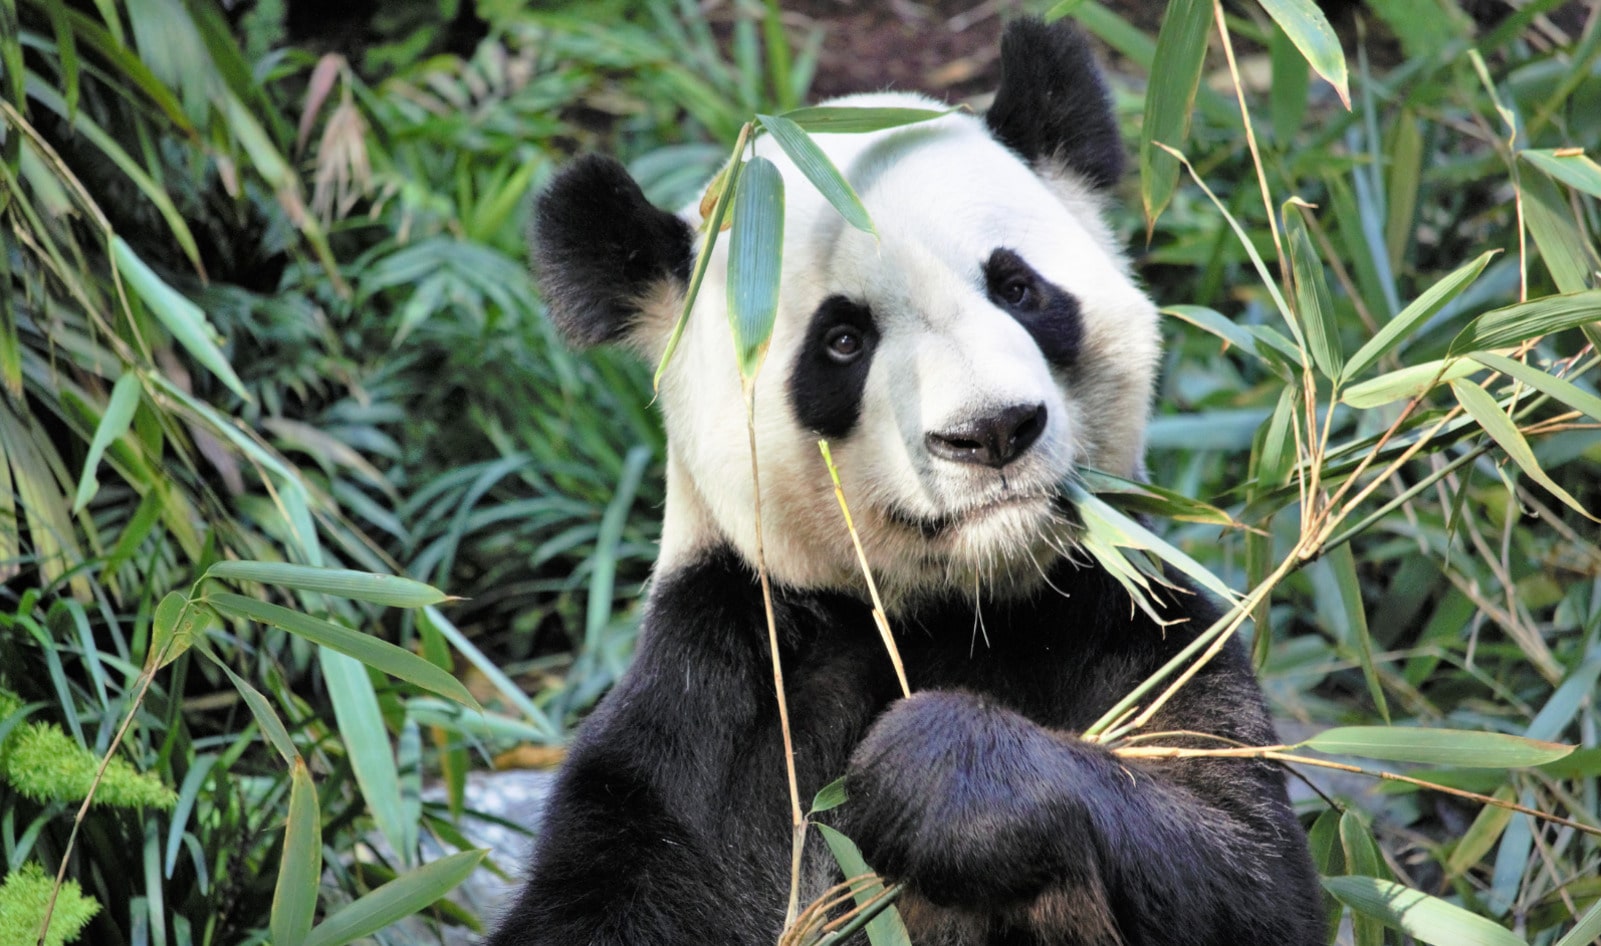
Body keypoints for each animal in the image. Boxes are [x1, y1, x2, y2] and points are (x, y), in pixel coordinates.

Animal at [488, 17, 1323, 946]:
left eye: (1018, 289)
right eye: (842, 340)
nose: (991, 431)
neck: (952, 612)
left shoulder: (1130, 623)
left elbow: (1242, 869)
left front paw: (937, 779)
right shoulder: (719, 694)